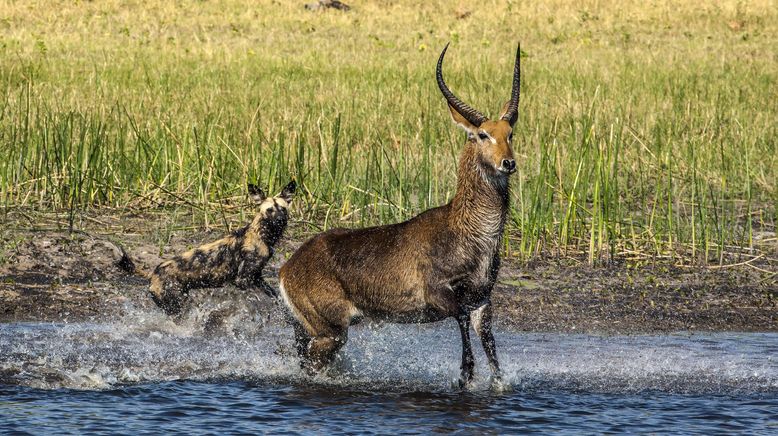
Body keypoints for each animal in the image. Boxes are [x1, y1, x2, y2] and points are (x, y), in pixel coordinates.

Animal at [116, 181, 296, 316]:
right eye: (269, 210)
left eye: (282, 209)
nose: (280, 220)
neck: (262, 234)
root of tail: (153, 272)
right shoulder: (242, 280)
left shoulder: (257, 276)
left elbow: (274, 295)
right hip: (177, 305)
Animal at [278, 42, 520, 386]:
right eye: (482, 134)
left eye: (510, 132)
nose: (508, 163)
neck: (471, 232)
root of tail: (288, 267)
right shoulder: (440, 293)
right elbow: (460, 319)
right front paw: (465, 374)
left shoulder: (482, 299)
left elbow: (489, 341)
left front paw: (496, 382)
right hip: (330, 333)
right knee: (312, 365)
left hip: (313, 330)